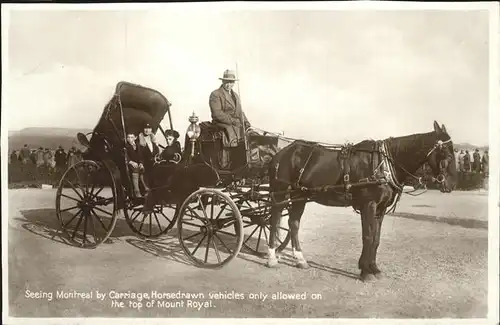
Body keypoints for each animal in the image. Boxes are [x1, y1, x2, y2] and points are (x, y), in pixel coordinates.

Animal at [268, 120, 456, 280]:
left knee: (293, 223)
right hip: (279, 192)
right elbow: (368, 236)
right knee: (274, 219)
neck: (383, 164)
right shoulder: (368, 205)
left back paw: (300, 259)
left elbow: (376, 238)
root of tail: (282, 152)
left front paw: (374, 268)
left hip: (299, 196)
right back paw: (271, 256)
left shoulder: (380, 208)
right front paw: (365, 271)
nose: (452, 184)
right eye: (445, 152)